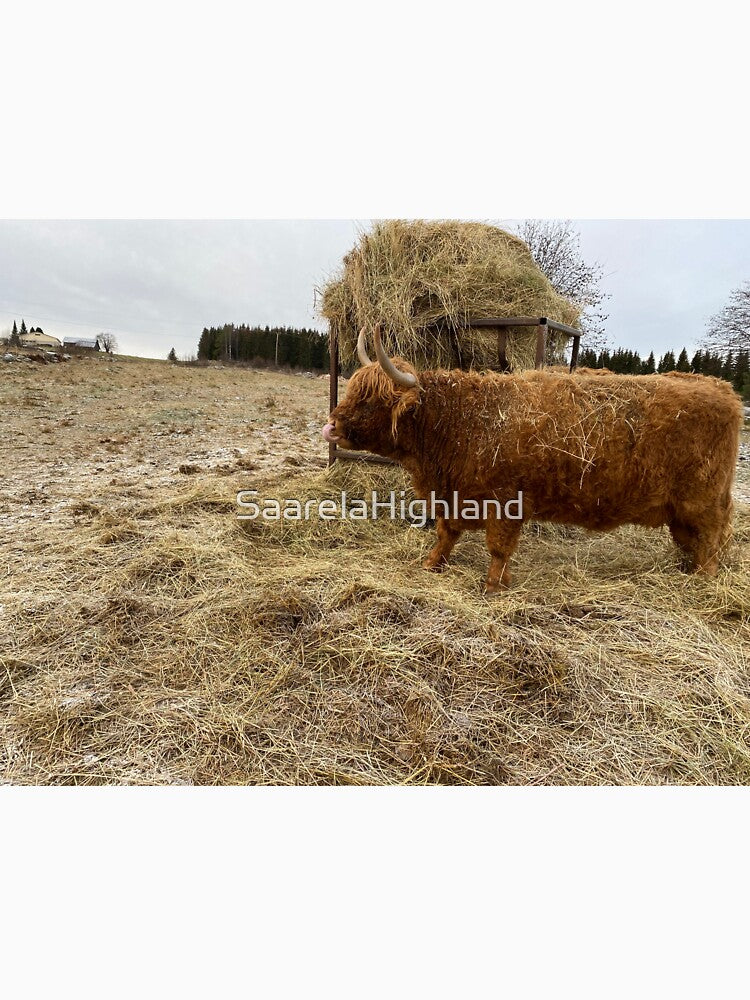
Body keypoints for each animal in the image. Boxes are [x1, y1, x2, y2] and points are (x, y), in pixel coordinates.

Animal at [322, 327, 742, 594]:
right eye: (353, 388)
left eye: (373, 400)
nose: (331, 427)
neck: (459, 421)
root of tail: (724, 391)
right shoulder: (455, 495)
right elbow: (447, 533)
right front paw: (432, 564)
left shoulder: (506, 503)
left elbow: (497, 548)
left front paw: (493, 586)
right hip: (680, 509)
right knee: (690, 541)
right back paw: (684, 569)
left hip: (703, 500)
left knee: (710, 539)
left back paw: (702, 581)